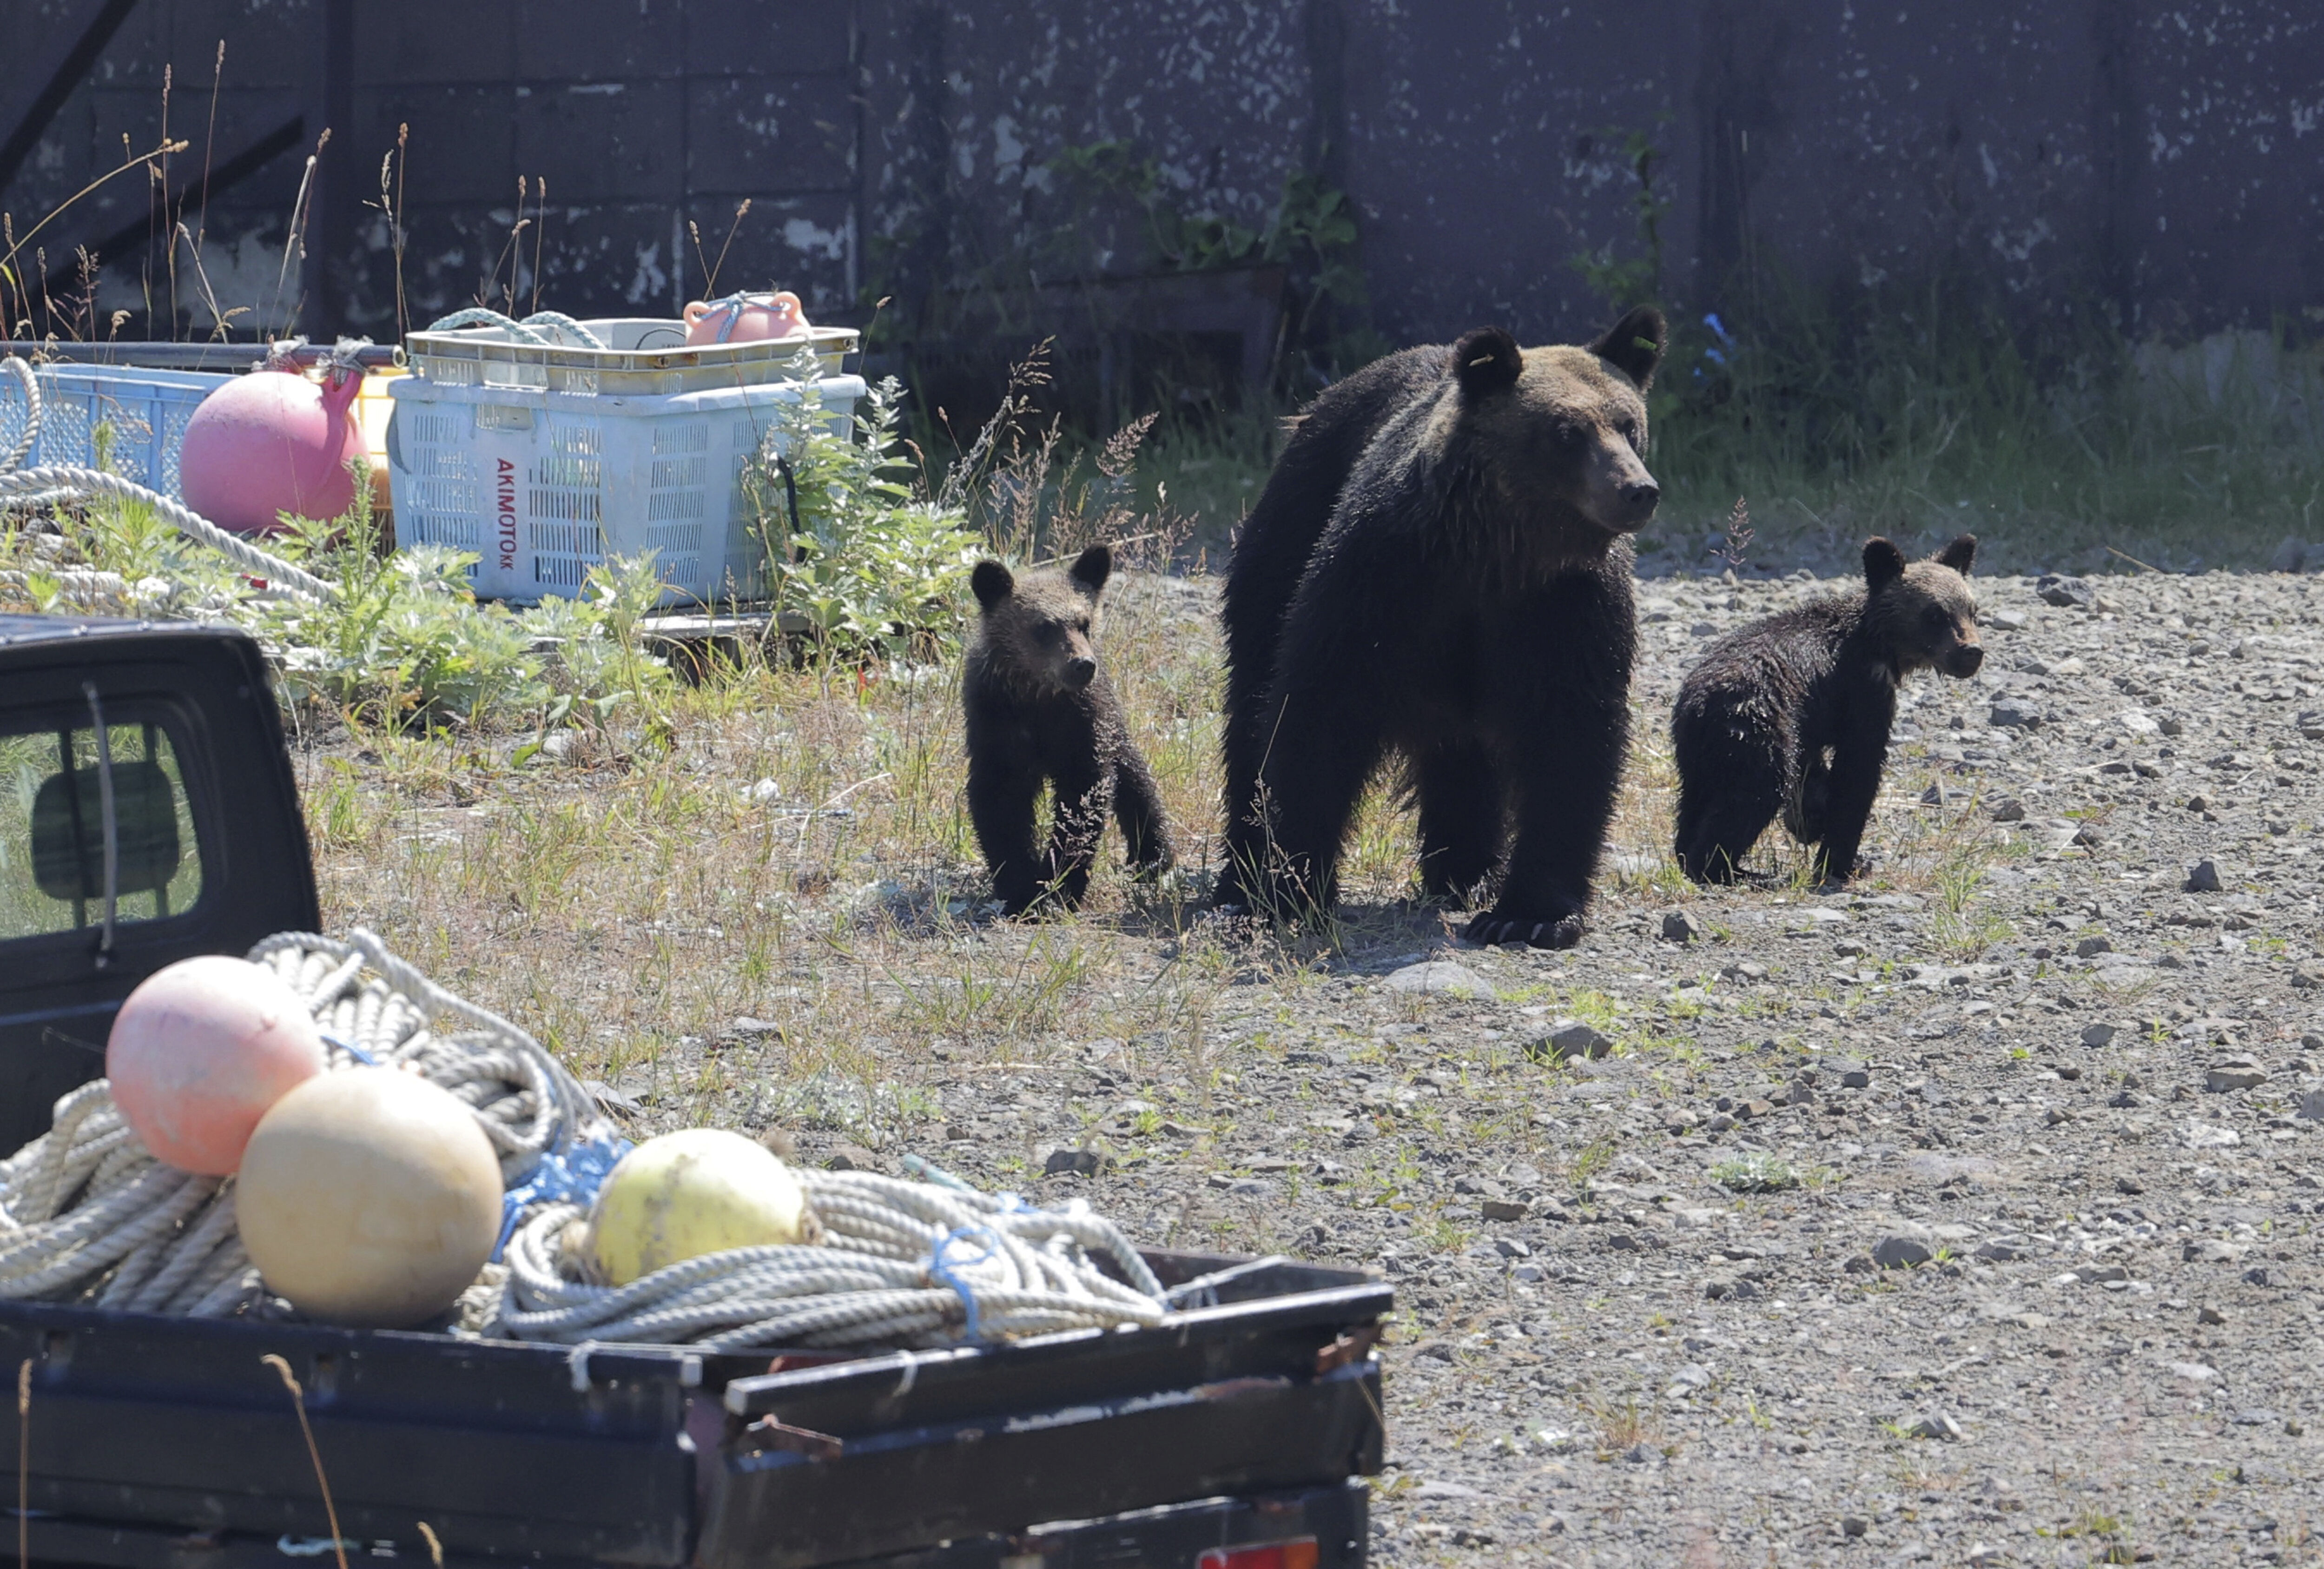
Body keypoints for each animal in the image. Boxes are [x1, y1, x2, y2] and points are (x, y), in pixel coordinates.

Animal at [963, 544, 1174, 914]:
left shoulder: (1083, 727)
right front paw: (1020, 887)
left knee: (1135, 777)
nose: (1082, 665)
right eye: (1043, 627)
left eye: (1084, 622)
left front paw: (1060, 880)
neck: (1037, 701)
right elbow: (1000, 805)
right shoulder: (995, 727)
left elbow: (1083, 799)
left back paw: (1152, 856)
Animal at [1215, 307, 1669, 949]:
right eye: (1566, 432)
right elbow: (1317, 712)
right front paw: (1292, 886)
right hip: (1288, 529)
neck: (1493, 556)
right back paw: (1239, 876)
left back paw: (1467, 872)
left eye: (1628, 425)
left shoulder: (1565, 606)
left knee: (1463, 753)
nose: (1637, 491)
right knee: (1252, 695)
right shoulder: (1385, 577)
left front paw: (1529, 912)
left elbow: (1571, 736)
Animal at [1670, 534, 1983, 887]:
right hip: (1755, 728)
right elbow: (1857, 773)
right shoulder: (1862, 691)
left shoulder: (1809, 723)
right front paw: (1843, 862)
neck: (1880, 646)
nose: (1972, 652)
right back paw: (1740, 871)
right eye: (1935, 614)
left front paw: (1812, 823)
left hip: (1699, 752)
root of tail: (1701, 704)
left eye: (1972, 610)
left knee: (1696, 801)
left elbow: (1813, 775)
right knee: (1753, 795)